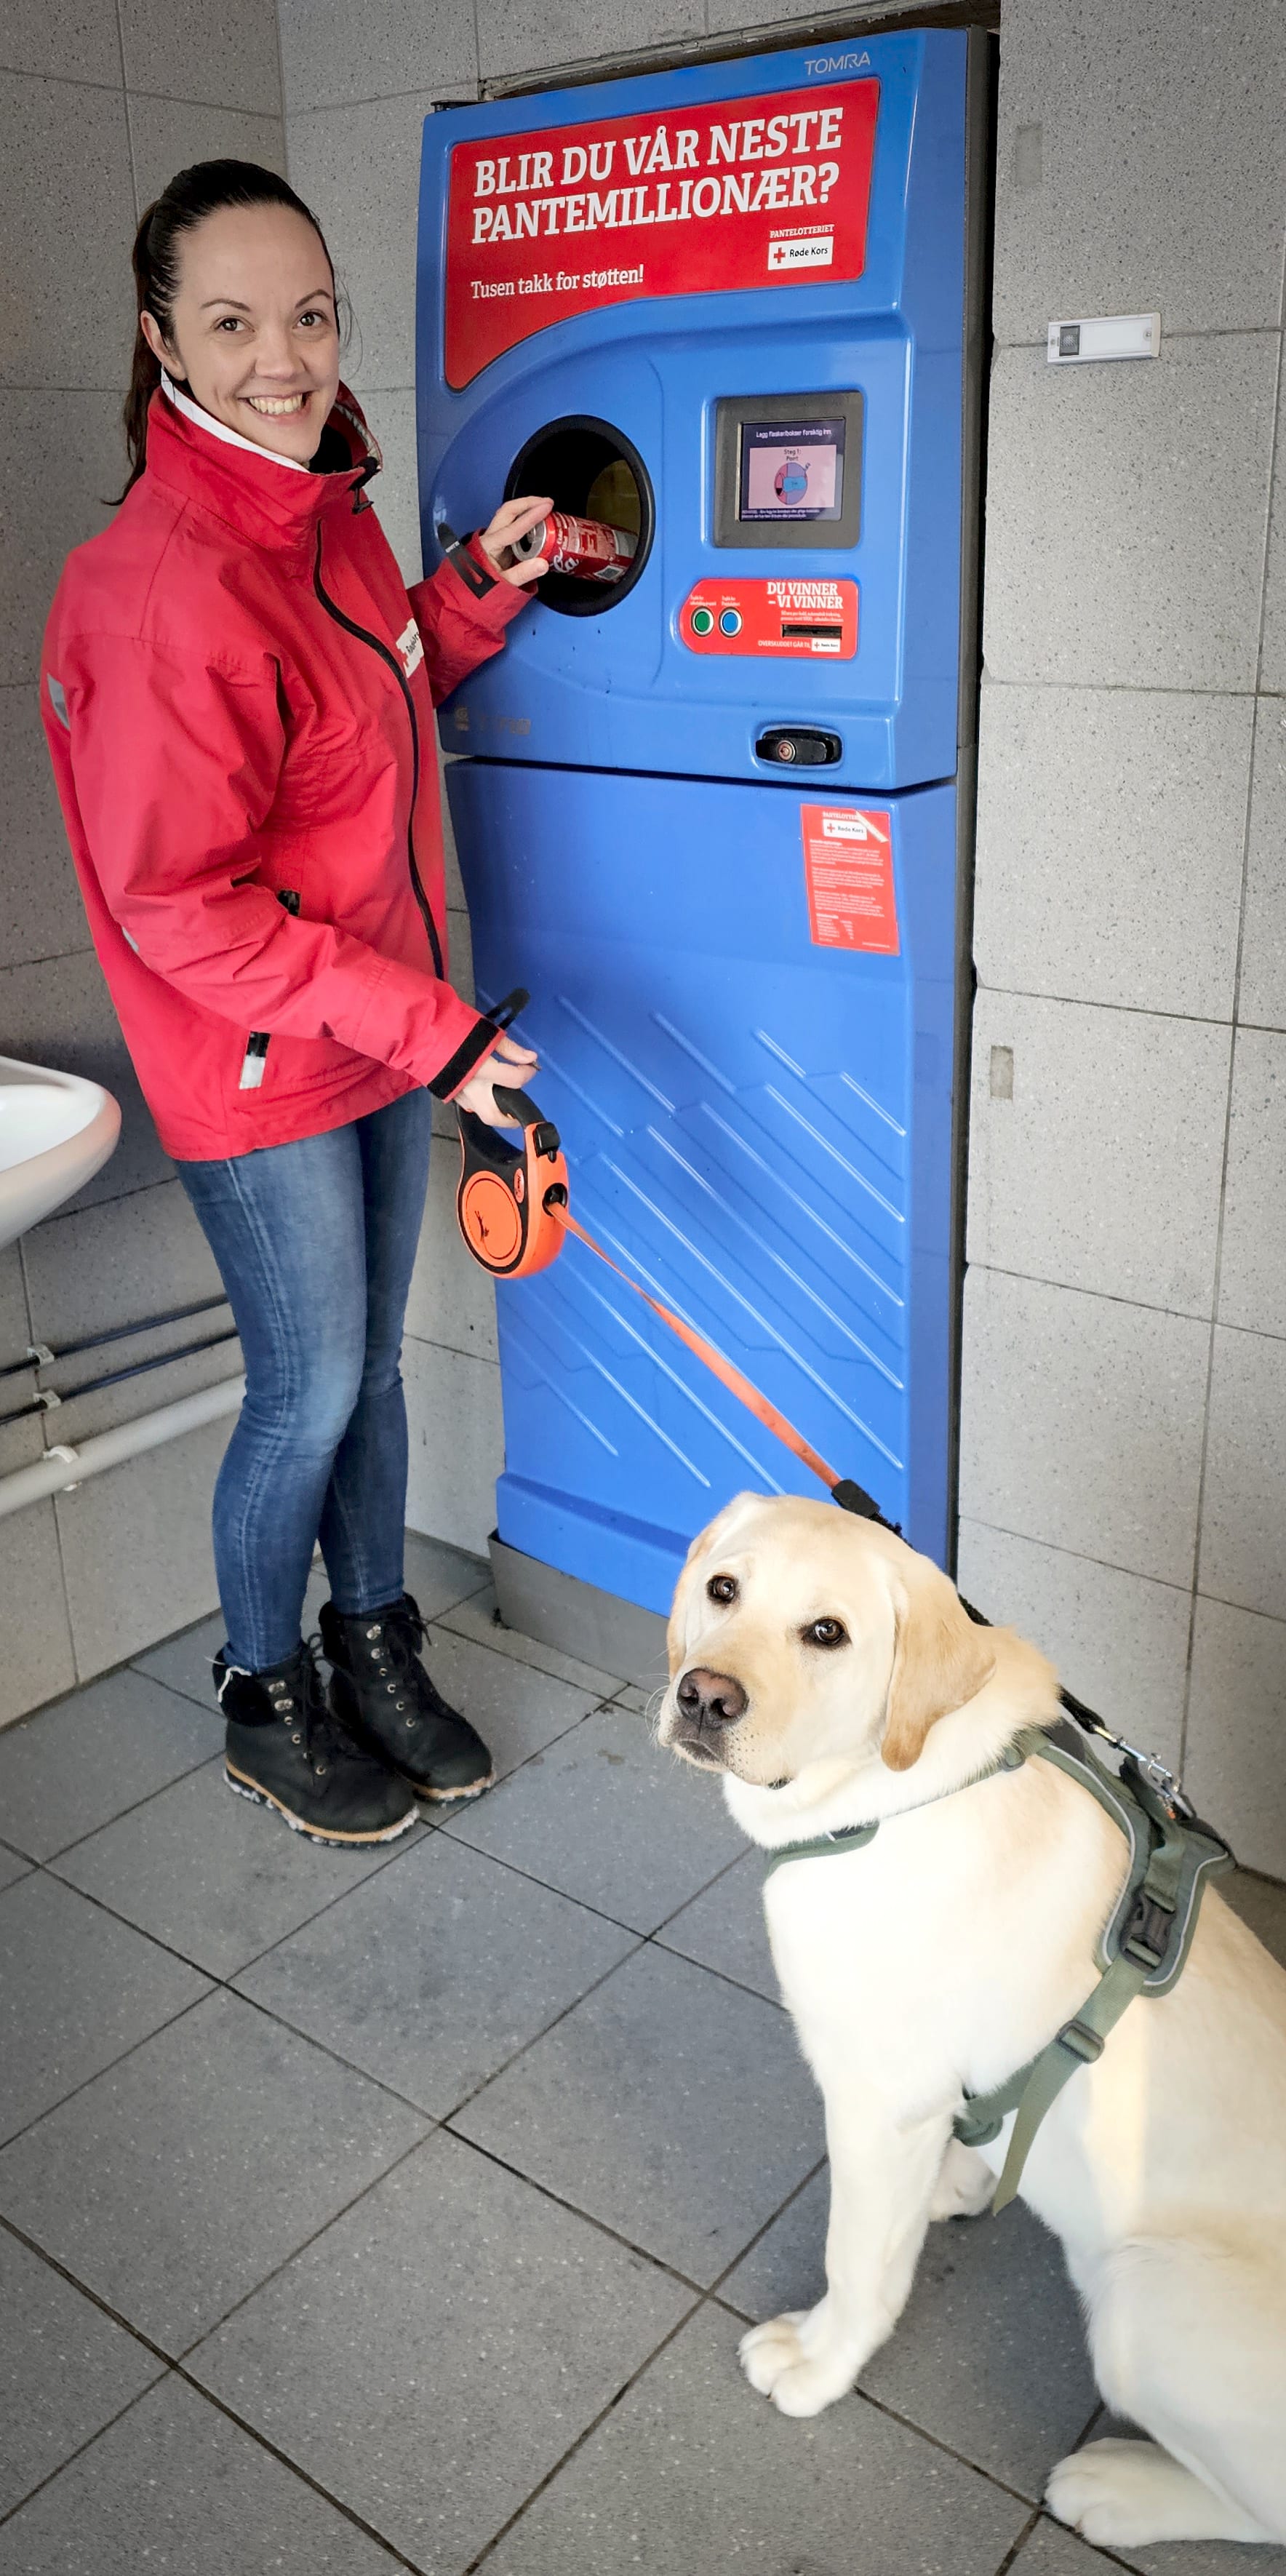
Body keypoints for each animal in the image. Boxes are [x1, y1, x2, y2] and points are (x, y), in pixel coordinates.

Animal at [658, 1491, 1286, 2549]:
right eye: (722, 1588)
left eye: (827, 1633)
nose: (704, 1696)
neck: (896, 1792)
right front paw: (965, 2177)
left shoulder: (875, 2101)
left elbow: (857, 2260)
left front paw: (819, 2364)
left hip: (1142, 2303)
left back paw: (1118, 2487)